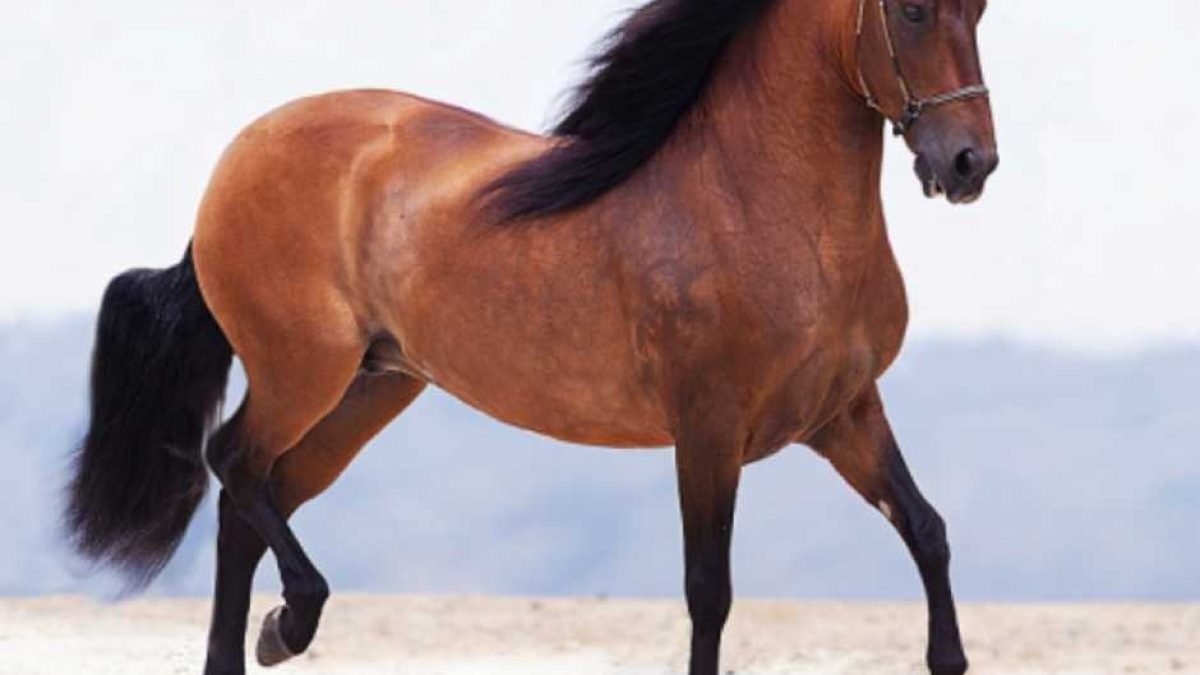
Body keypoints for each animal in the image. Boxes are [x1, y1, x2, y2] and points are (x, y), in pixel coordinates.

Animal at [66, 0, 997, 673]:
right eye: (913, 10)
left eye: (978, 6)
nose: (968, 165)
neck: (759, 208)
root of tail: (238, 156)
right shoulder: (708, 428)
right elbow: (709, 590)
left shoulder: (844, 413)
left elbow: (929, 530)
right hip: (303, 371)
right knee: (232, 462)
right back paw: (293, 620)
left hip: (372, 388)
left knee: (254, 494)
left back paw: (262, 637)